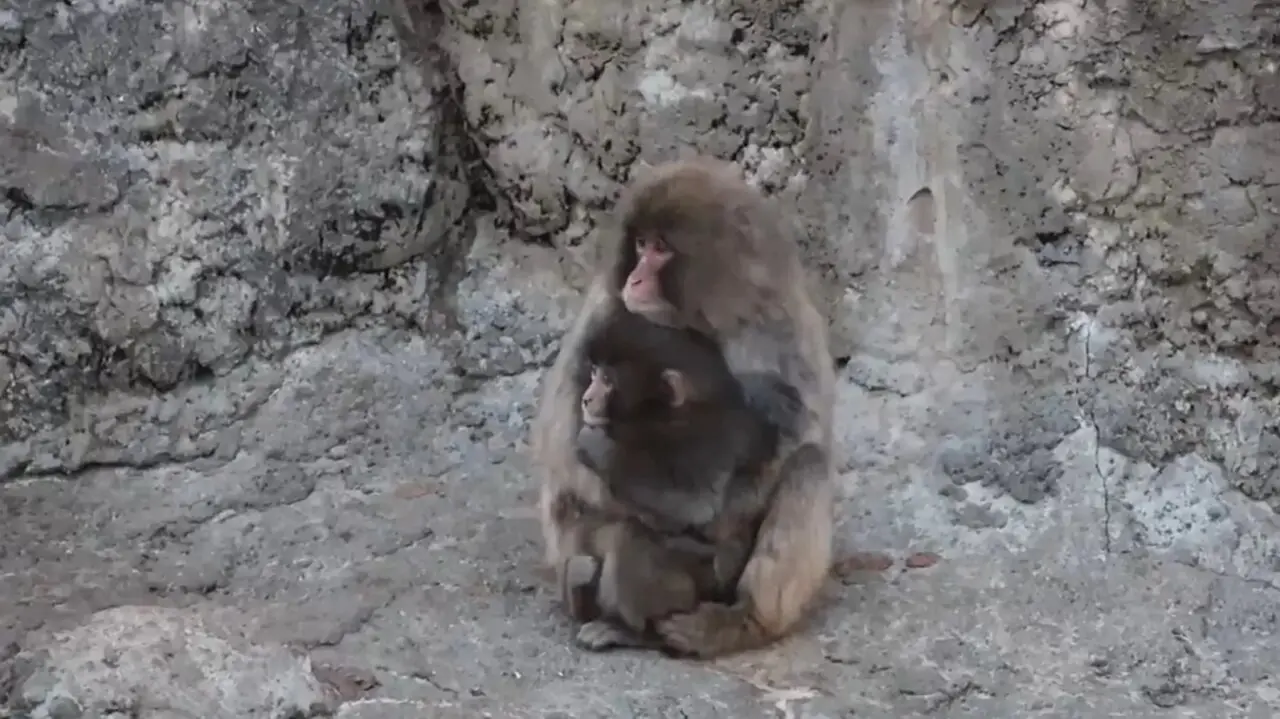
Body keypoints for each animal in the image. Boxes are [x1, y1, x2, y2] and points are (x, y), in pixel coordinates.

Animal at [531, 156, 836, 658]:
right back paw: (588, 597)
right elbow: (563, 450)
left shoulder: (778, 323)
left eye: (660, 249)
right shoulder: (605, 309)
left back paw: (742, 621)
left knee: (809, 465)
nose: (634, 278)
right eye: (639, 245)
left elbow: (797, 435)